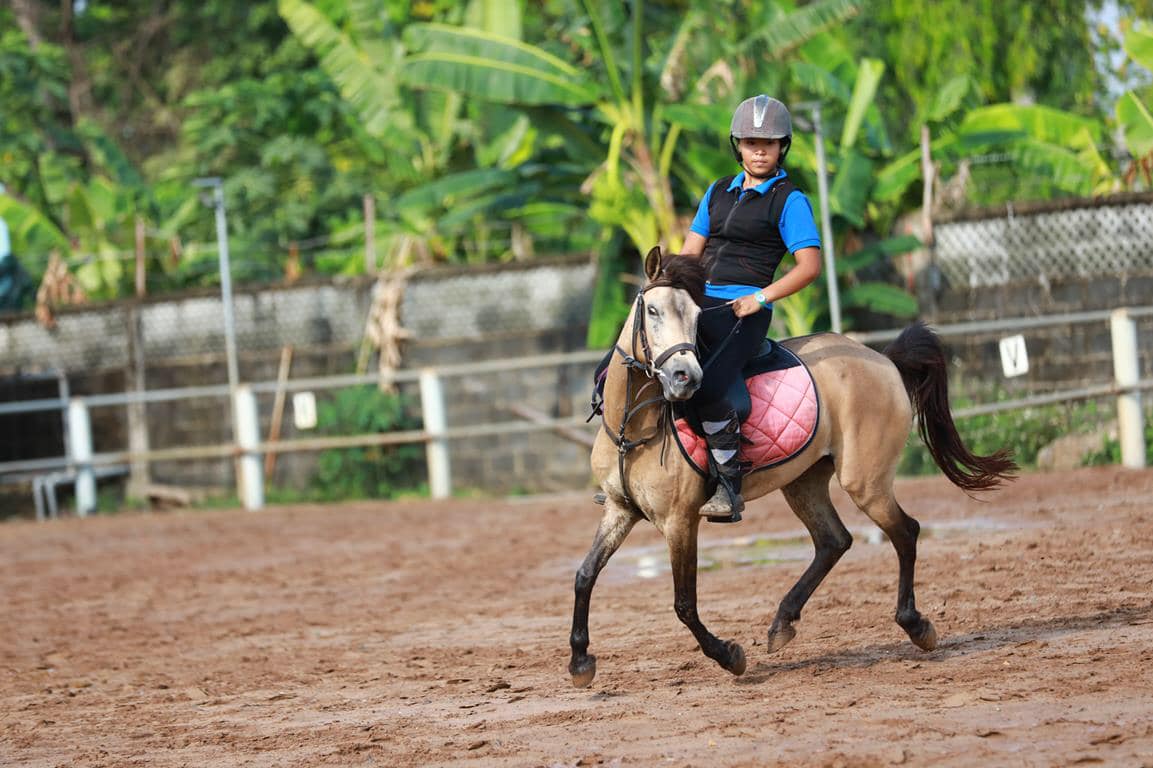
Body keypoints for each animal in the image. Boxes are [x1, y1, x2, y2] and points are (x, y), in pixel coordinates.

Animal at [568, 247, 1016, 687]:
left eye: (696, 317)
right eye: (653, 311)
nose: (686, 377)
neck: (635, 427)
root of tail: (884, 360)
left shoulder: (680, 520)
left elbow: (684, 603)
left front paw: (729, 655)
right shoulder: (619, 510)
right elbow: (585, 574)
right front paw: (579, 661)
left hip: (865, 482)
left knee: (905, 532)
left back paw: (915, 625)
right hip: (804, 482)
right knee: (834, 540)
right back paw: (783, 622)